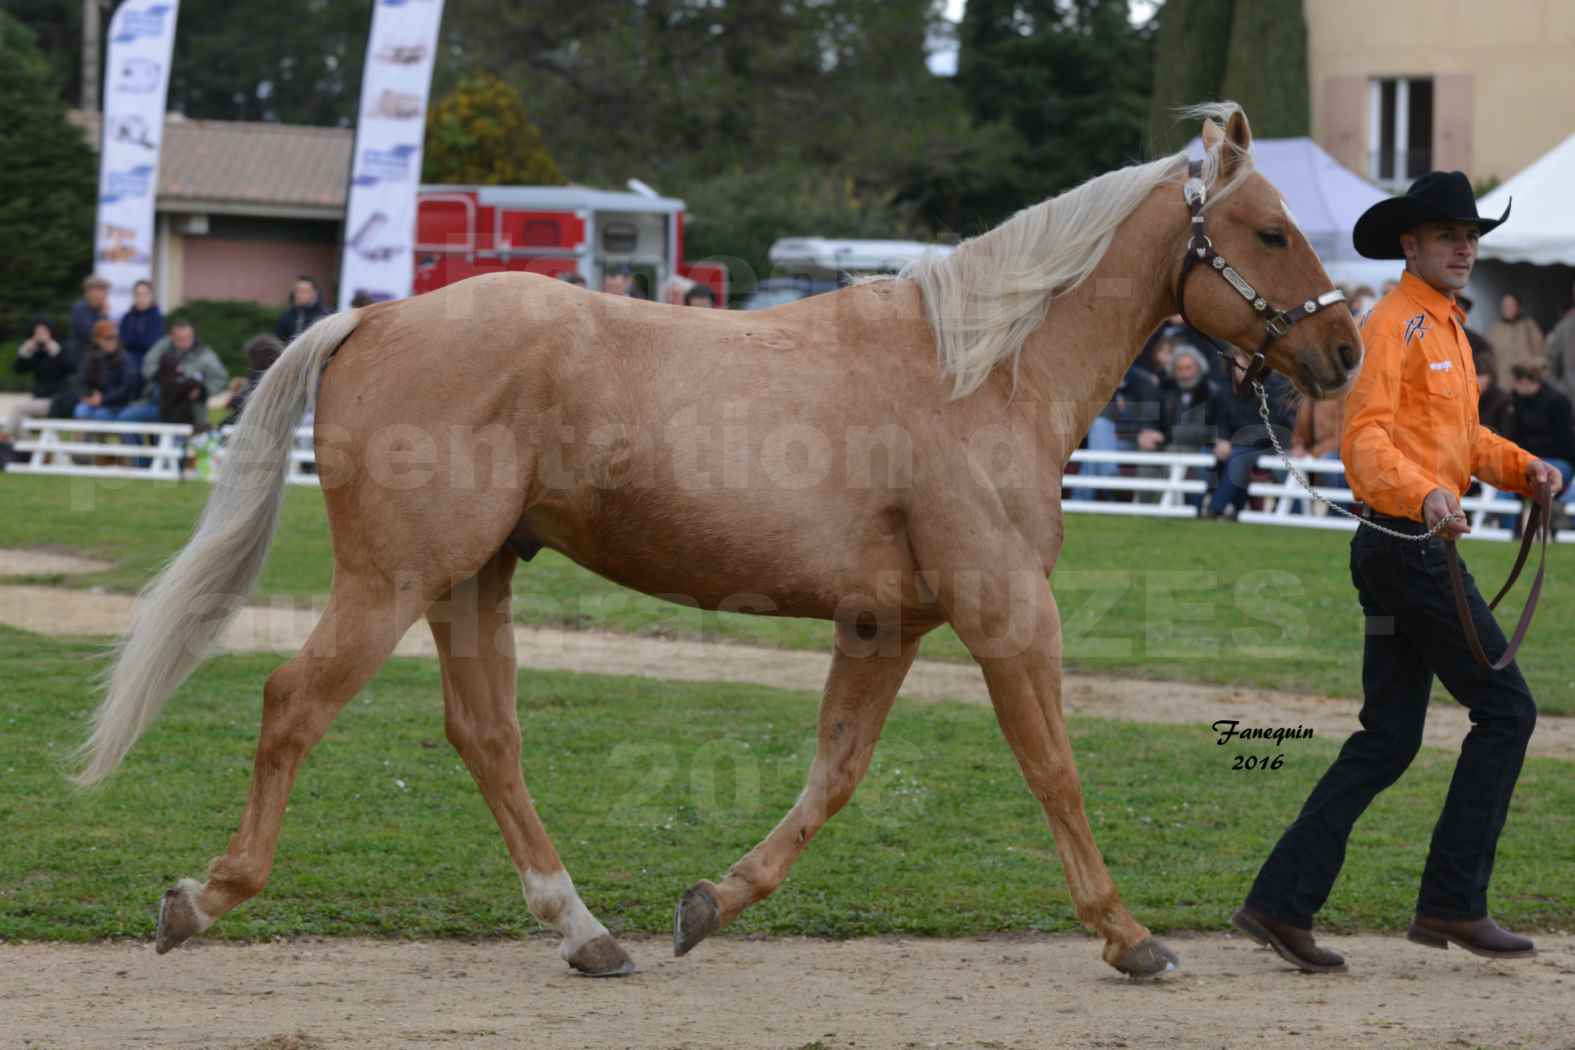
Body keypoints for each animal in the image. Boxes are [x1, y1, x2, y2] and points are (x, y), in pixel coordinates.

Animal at [76, 107, 1354, 976]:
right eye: (1270, 230)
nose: (1342, 354)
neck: (978, 373)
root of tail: (377, 314)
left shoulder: (886, 624)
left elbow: (834, 774)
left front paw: (713, 902)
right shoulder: (1005, 615)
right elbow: (1054, 768)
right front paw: (1129, 934)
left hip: (471, 583)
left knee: (486, 737)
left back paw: (587, 932)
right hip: (394, 580)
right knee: (295, 702)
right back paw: (205, 898)